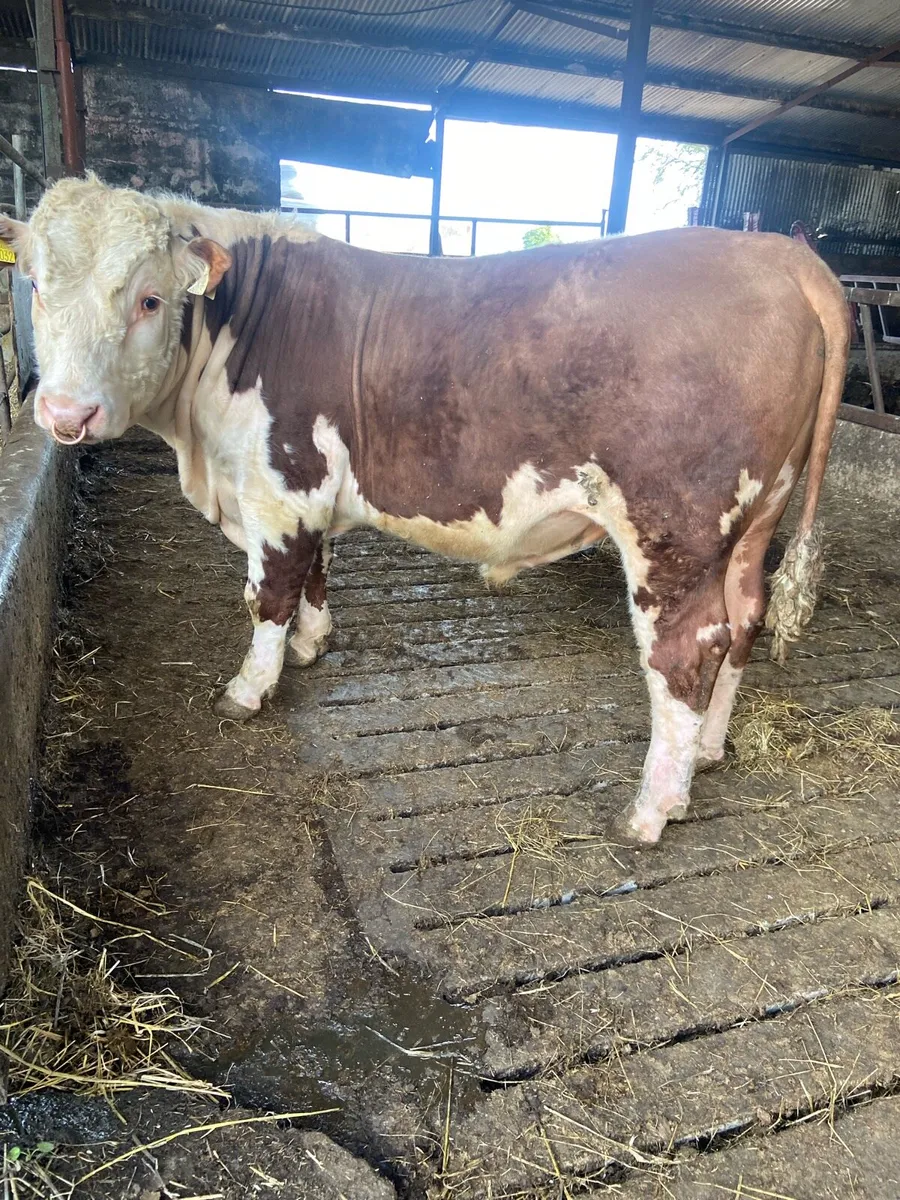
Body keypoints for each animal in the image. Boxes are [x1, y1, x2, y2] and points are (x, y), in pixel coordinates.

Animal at [0, 174, 849, 846]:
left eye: (149, 299)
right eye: (36, 285)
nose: (66, 414)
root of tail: (779, 255)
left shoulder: (281, 483)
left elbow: (267, 592)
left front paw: (249, 688)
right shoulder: (310, 492)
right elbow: (315, 572)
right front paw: (310, 645)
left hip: (674, 530)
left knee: (685, 652)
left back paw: (652, 808)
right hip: (755, 519)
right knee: (744, 618)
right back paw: (707, 749)